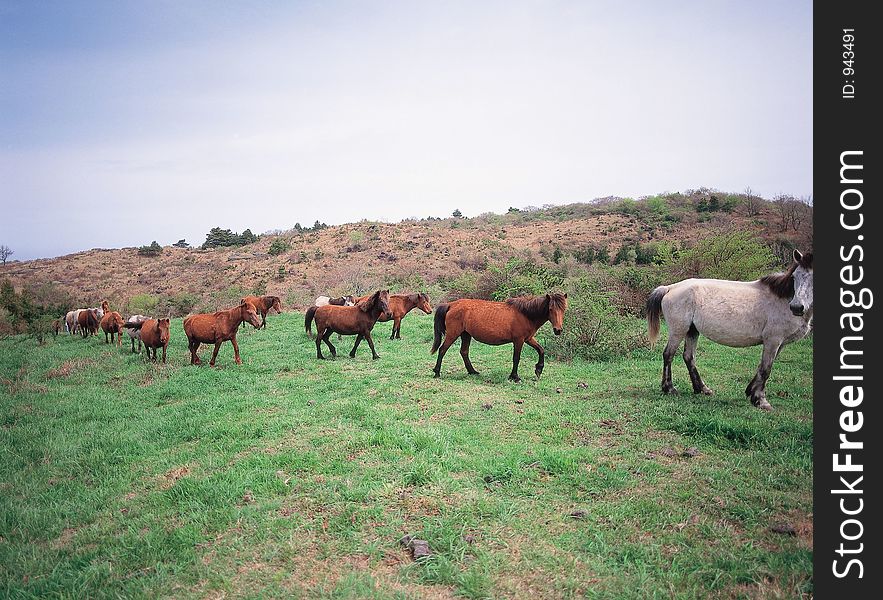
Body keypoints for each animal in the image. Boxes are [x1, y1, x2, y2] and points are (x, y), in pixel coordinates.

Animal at [432, 292, 568, 382]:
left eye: (564, 309)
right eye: (550, 309)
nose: (558, 330)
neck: (525, 314)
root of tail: (451, 305)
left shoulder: (528, 339)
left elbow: (541, 350)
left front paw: (538, 369)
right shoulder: (519, 340)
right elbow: (516, 358)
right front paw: (514, 377)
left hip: (466, 334)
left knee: (464, 352)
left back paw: (472, 371)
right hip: (453, 334)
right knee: (442, 350)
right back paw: (437, 372)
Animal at [648, 250, 816, 412]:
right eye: (794, 277)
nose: (796, 307)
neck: (782, 298)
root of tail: (670, 288)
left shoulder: (779, 344)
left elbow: (763, 367)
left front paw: (750, 392)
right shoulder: (773, 340)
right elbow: (766, 369)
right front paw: (761, 400)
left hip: (692, 331)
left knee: (689, 357)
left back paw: (702, 389)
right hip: (678, 331)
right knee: (668, 355)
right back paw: (669, 388)